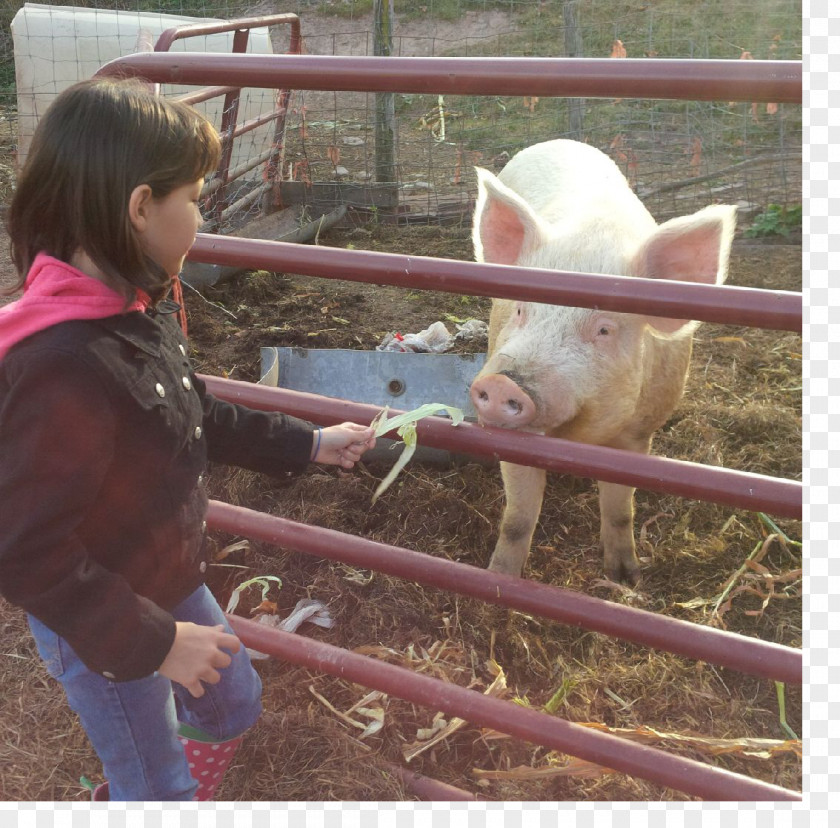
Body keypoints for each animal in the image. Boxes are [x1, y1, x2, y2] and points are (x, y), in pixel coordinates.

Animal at [470, 141, 740, 584]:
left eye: (604, 330)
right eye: (521, 310)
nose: (502, 384)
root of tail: (561, 141)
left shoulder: (638, 434)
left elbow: (619, 510)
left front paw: (626, 578)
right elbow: (518, 519)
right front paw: (498, 579)